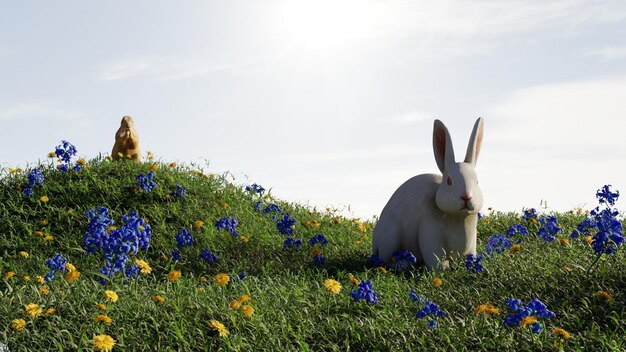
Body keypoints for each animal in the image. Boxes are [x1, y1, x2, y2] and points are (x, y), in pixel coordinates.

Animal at [370, 117, 482, 268]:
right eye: (449, 181)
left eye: (477, 181)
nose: (466, 197)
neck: (459, 217)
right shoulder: (430, 235)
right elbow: (435, 259)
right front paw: (443, 268)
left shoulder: (472, 243)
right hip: (389, 238)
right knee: (385, 260)